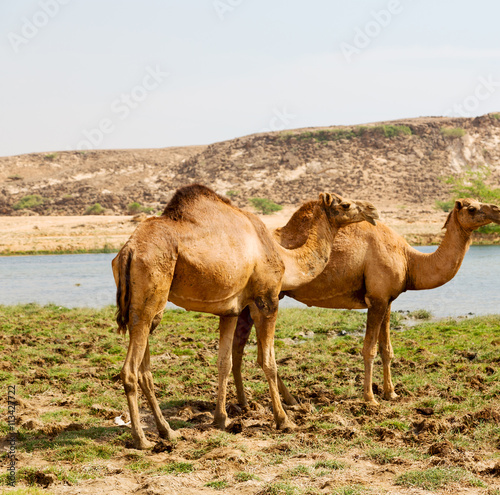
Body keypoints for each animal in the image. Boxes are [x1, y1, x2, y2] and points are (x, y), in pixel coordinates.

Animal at [111, 184, 376, 448]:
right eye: (345, 204)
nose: (372, 210)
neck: (284, 257)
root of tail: (128, 251)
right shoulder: (266, 300)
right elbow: (268, 362)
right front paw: (284, 420)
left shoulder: (230, 310)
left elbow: (224, 363)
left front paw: (221, 419)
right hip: (150, 291)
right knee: (130, 370)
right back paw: (142, 439)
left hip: (148, 308)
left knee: (145, 369)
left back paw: (167, 432)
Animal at [232, 198, 500, 406]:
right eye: (472, 208)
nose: (497, 209)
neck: (410, 260)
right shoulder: (376, 299)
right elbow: (369, 349)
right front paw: (370, 398)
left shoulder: (388, 300)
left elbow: (387, 349)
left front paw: (391, 393)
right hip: (266, 295)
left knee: (240, 347)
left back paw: (254, 403)